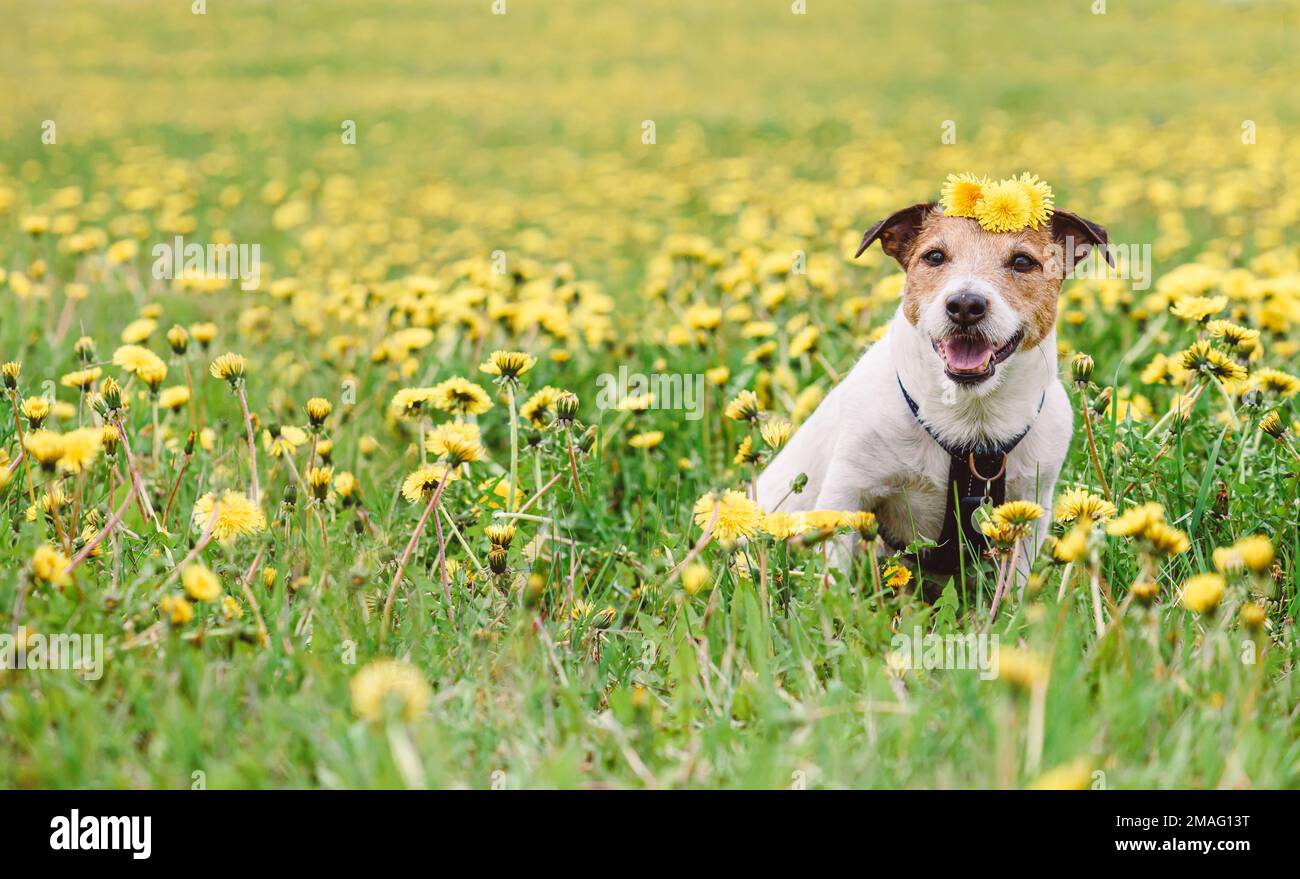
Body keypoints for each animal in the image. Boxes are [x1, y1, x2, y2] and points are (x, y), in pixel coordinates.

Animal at [759, 196, 1107, 587]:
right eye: (935, 256)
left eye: (1022, 262)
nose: (966, 304)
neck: (972, 419)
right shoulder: (846, 491)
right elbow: (836, 577)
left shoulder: (1028, 509)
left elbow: (1013, 587)